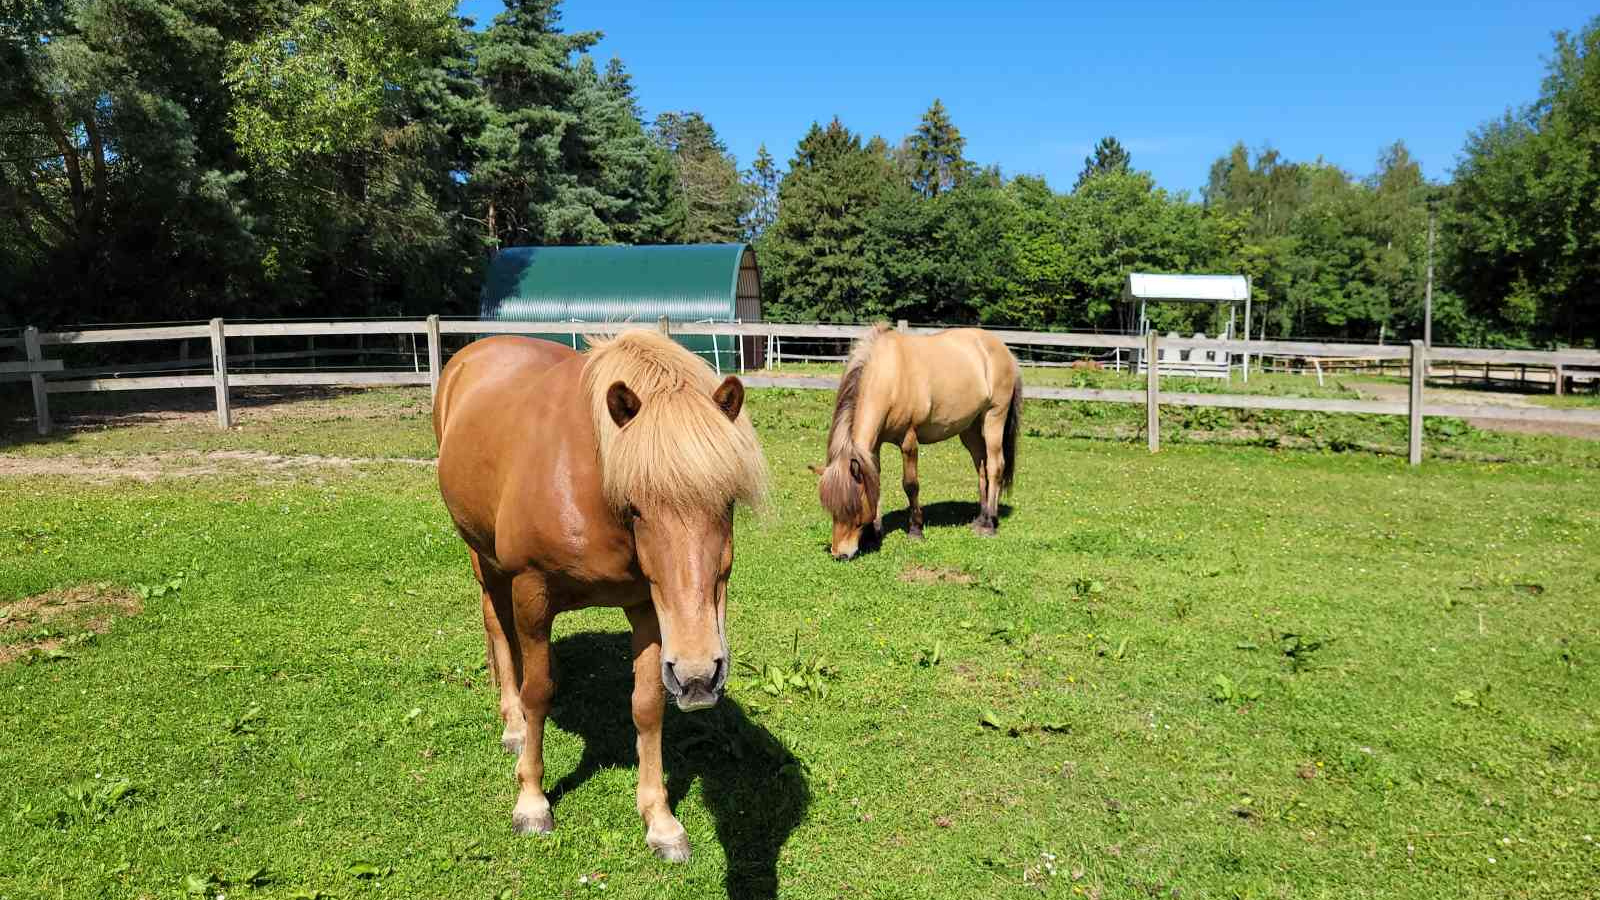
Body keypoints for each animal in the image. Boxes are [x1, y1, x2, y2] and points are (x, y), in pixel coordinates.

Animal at [433, 330, 767, 862]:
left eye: (728, 501)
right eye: (635, 506)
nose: (698, 677)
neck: (587, 487)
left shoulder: (649, 608)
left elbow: (647, 705)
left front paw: (661, 821)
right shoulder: (531, 588)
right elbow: (537, 691)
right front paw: (531, 802)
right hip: (483, 559)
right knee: (499, 631)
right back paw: (513, 725)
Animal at [812, 324, 1021, 560]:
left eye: (852, 508)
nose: (839, 553)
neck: (889, 376)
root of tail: (1004, 350)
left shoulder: (909, 440)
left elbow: (910, 485)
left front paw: (915, 530)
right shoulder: (874, 446)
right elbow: (875, 481)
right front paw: (874, 533)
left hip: (994, 417)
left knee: (995, 467)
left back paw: (989, 524)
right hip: (972, 429)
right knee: (982, 470)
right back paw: (980, 518)